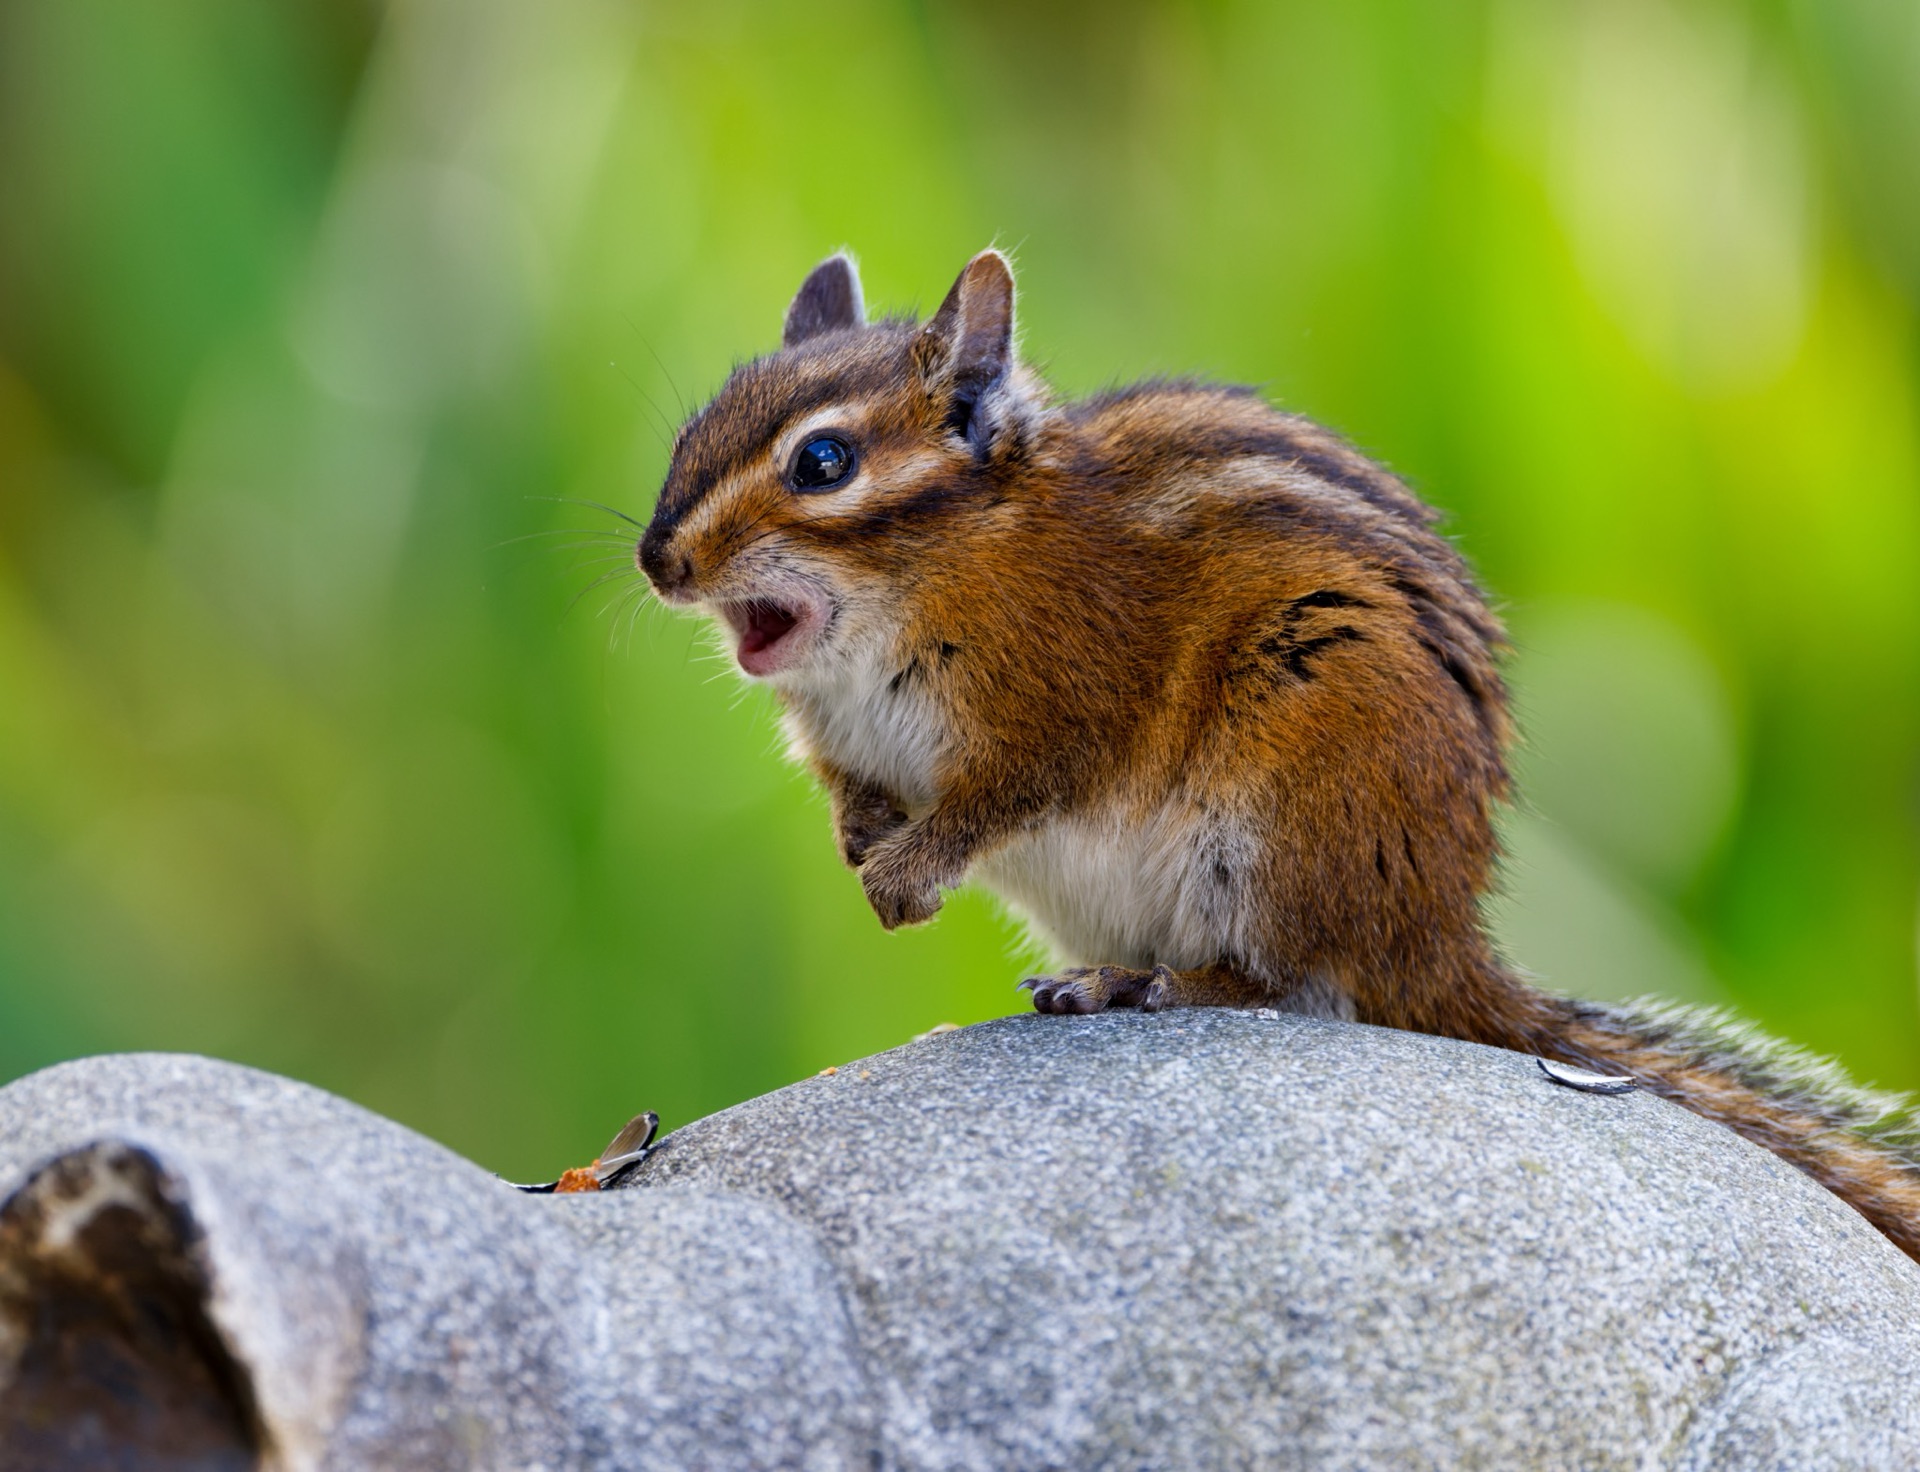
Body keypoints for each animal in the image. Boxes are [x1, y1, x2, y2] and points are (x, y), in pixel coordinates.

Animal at [636, 248, 1920, 1263]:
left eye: (822, 464)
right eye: (692, 433)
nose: (658, 560)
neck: (941, 571)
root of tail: (1438, 939)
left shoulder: (1063, 698)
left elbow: (1001, 792)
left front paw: (905, 874)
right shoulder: (842, 735)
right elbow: (855, 788)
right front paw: (862, 838)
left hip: (1286, 798)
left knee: (1297, 987)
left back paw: (1140, 983)